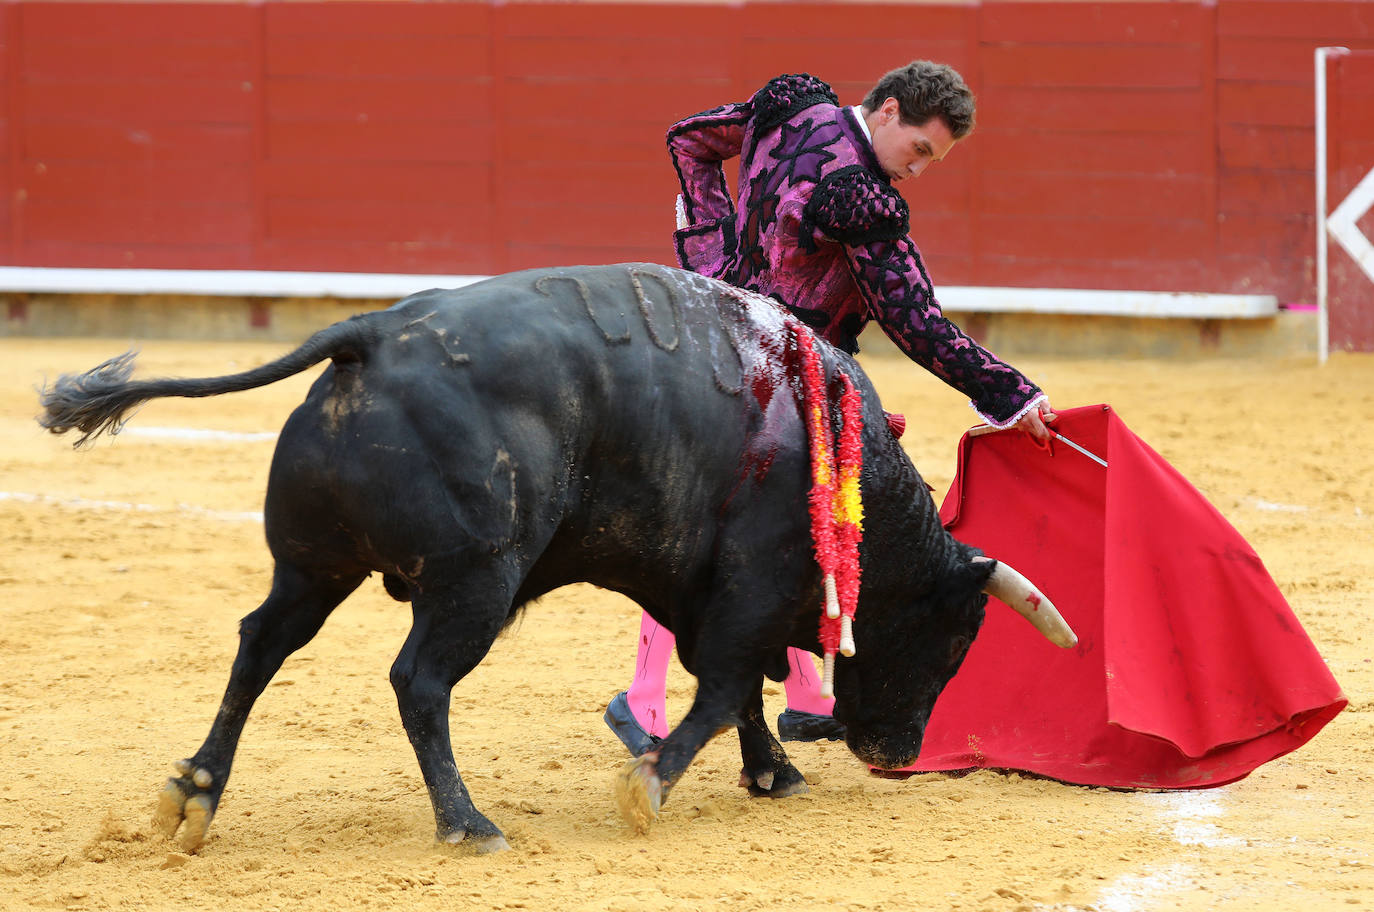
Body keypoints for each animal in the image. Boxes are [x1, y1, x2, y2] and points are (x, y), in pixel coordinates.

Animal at [34, 262, 1071, 857]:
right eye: (952, 643)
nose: (896, 755)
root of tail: (369, 337)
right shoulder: (748, 587)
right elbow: (722, 686)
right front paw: (651, 784)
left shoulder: (699, 588)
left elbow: (737, 691)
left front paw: (771, 772)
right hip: (475, 581)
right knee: (418, 682)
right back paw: (467, 824)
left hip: (313, 568)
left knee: (258, 646)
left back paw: (193, 796)